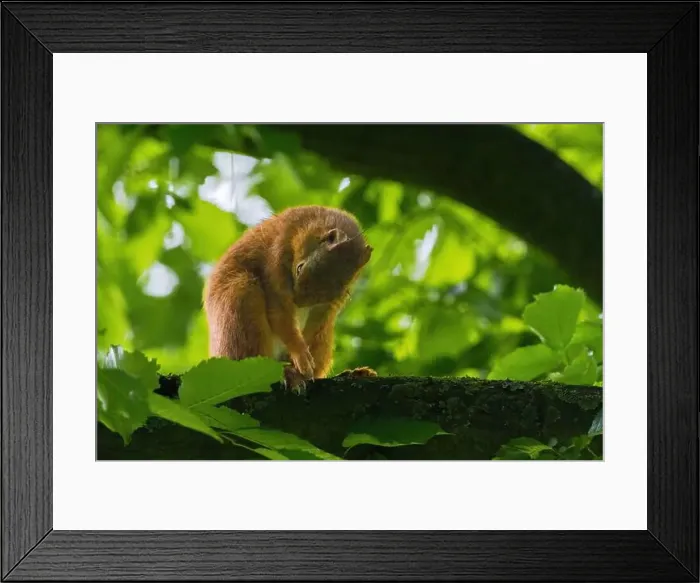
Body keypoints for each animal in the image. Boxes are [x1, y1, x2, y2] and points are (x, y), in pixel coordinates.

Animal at [204, 205, 376, 392]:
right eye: (299, 268)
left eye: (341, 291)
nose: (298, 302)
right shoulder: (275, 256)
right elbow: (279, 313)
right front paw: (300, 353)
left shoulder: (328, 306)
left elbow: (316, 320)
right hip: (240, 307)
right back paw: (285, 373)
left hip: (324, 338)